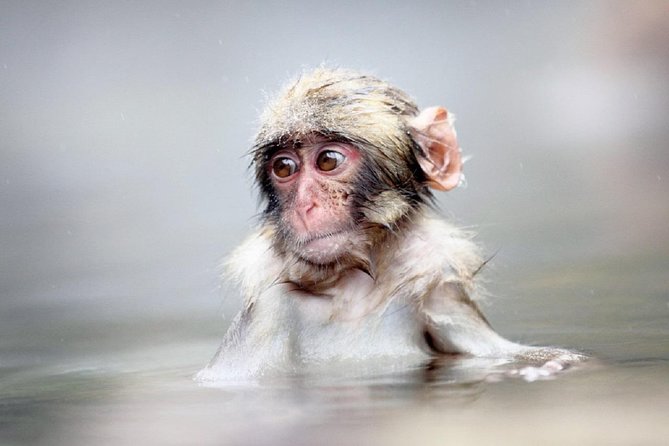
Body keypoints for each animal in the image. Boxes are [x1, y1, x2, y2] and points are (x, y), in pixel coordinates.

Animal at [197, 67, 585, 382]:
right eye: (284, 167)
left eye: (328, 160)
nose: (305, 206)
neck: (352, 296)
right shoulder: (268, 311)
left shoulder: (443, 302)